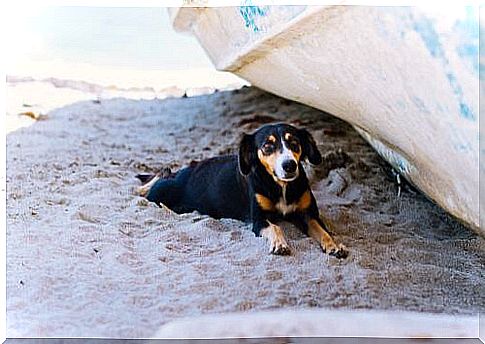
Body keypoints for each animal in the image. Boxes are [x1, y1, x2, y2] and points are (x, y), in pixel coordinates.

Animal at [138, 123, 346, 258]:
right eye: (267, 146)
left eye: (294, 143)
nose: (289, 165)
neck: (281, 186)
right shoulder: (259, 220)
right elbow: (276, 227)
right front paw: (279, 243)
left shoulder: (307, 214)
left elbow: (323, 231)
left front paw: (334, 245)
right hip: (162, 193)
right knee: (158, 180)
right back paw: (142, 189)